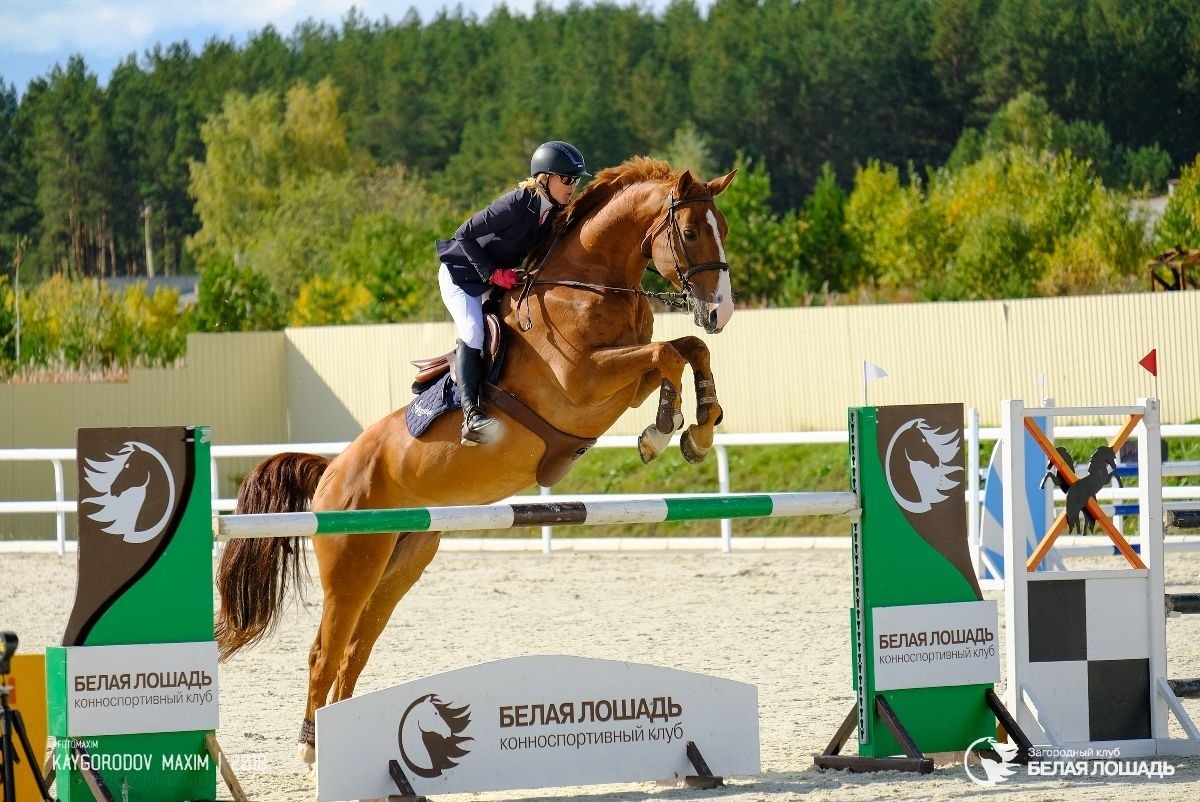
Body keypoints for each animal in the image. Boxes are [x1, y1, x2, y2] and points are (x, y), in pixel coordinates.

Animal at [217, 158, 739, 763]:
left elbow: (686, 350)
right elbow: (667, 354)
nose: (721, 311)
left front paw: (698, 426)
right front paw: (663, 429)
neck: (588, 288)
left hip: (399, 563)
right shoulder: (586, 382)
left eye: (724, 227)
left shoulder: (622, 387)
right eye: (692, 232)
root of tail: (331, 472)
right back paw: (310, 749)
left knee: (354, 650)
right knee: (325, 651)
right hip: (351, 567)